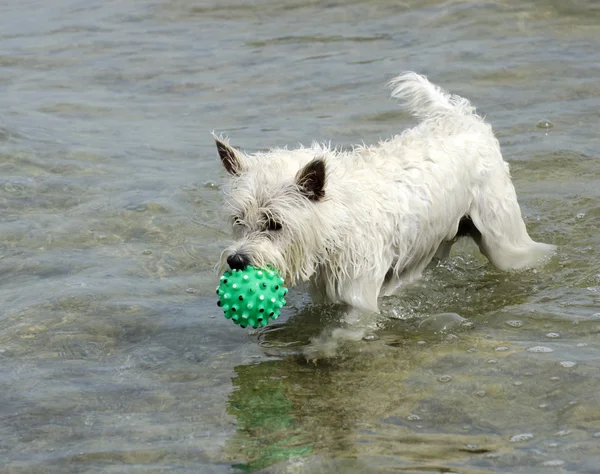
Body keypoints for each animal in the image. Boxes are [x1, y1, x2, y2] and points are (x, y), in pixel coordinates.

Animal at [213, 72, 556, 332]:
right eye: (238, 221)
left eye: (274, 224)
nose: (237, 260)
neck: (336, 222)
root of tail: (461, 118)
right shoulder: (327, 292)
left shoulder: (359, 296)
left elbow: (344, 330)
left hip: (501, 237)